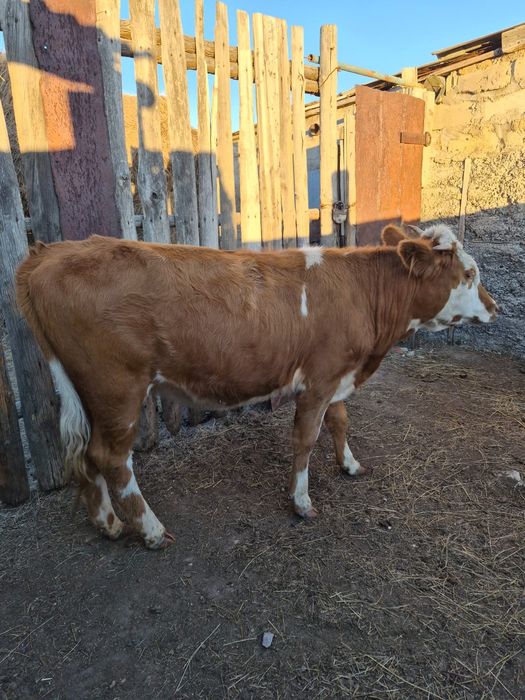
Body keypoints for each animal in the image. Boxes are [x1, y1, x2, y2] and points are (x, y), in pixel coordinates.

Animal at [16, 223, 497, 548]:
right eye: (469, 274)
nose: (495, 308)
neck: (363, 295)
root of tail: (48, 252)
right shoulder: (320, 379)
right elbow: (306, 439)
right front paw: (301, 501)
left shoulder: (337, 376)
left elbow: (341, 422)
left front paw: (350, 465)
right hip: (117, 386)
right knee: (111, 458)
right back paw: (149, 530)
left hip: (88, 392)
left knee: (85, 456)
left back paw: (108, 523)